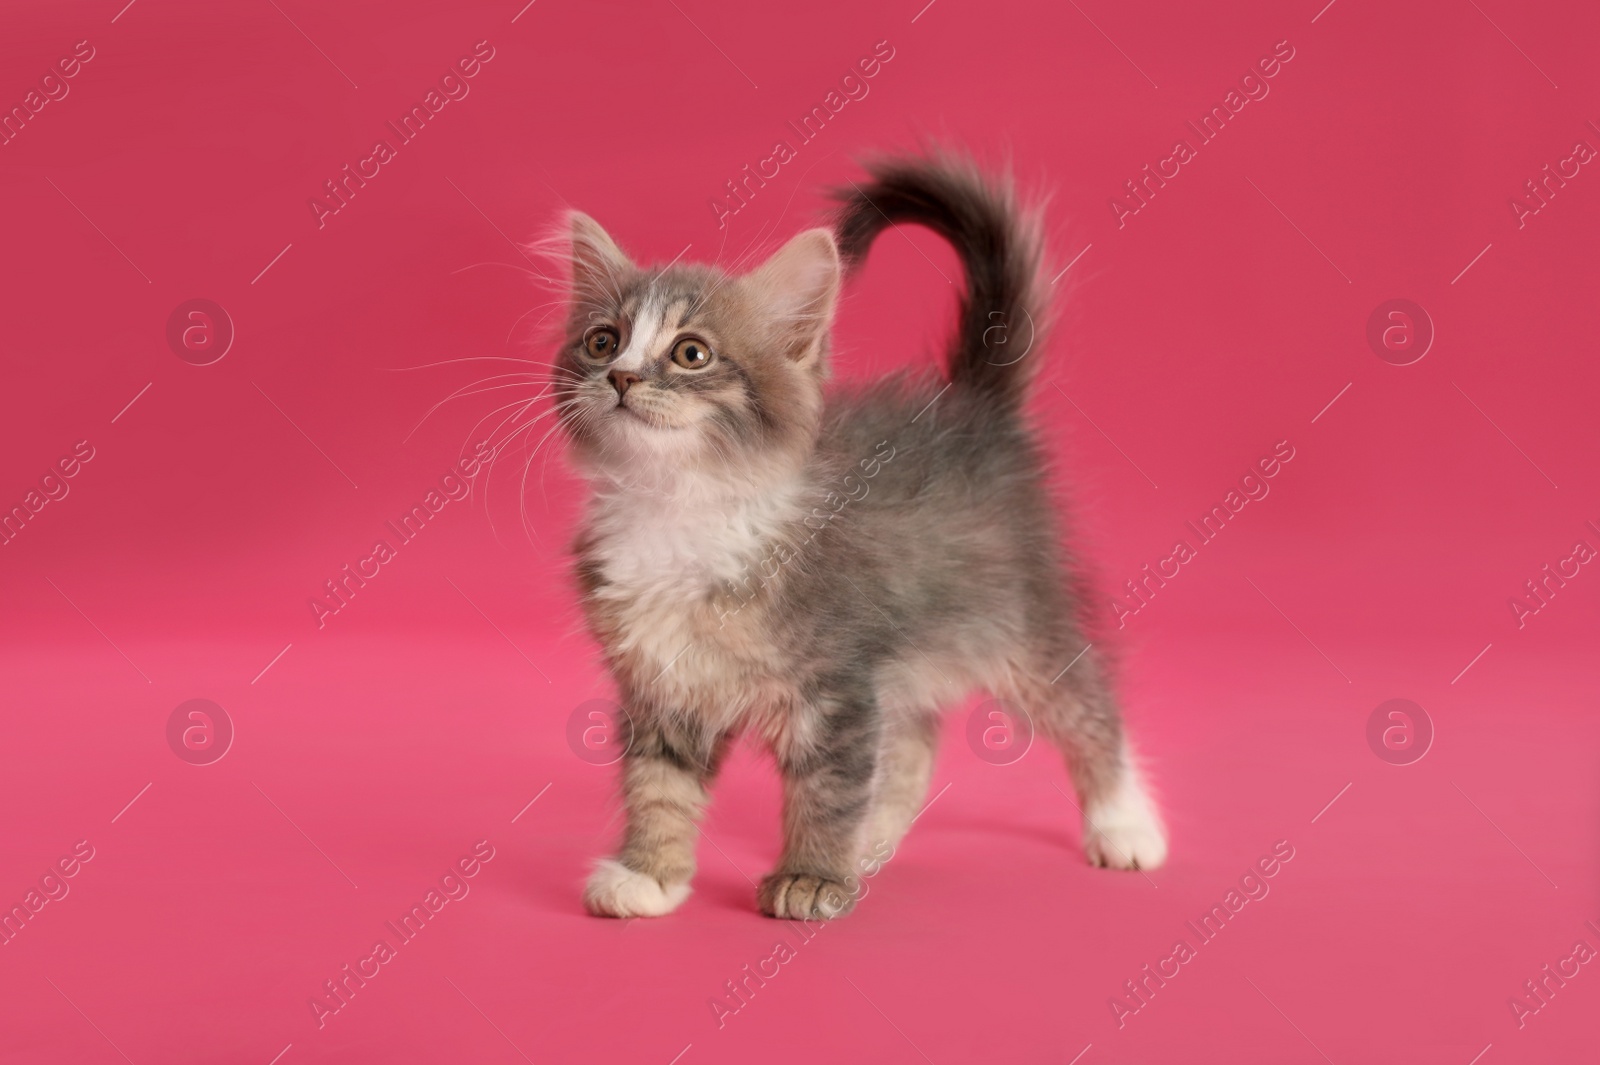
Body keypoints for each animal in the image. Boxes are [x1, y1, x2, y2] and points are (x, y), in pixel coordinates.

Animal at [550, 153, 1164, 914]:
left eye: (691, 353)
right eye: (602, 340)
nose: (621, 377)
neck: (680, 504)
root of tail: (972, 409)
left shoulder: (837, 681)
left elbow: (828, 785)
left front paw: (811, 875)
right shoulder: (663, 683)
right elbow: (658, 783)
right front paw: (650, 875)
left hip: (1022, 621)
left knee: (1088, 709)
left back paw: (1125, 823)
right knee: (913, 743)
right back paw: (873, 840)